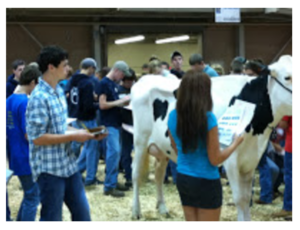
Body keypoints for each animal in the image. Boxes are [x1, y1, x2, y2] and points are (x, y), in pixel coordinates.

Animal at [130, 54, 292, 220]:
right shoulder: (231, 160)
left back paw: (162, 207)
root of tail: (146, 78)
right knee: (135, 173)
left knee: (159, 173)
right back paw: (136, 211)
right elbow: (240, 199)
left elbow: (247, 198)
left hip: (162, 148)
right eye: (287, 77)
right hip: (140, 140)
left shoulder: (251, 160)